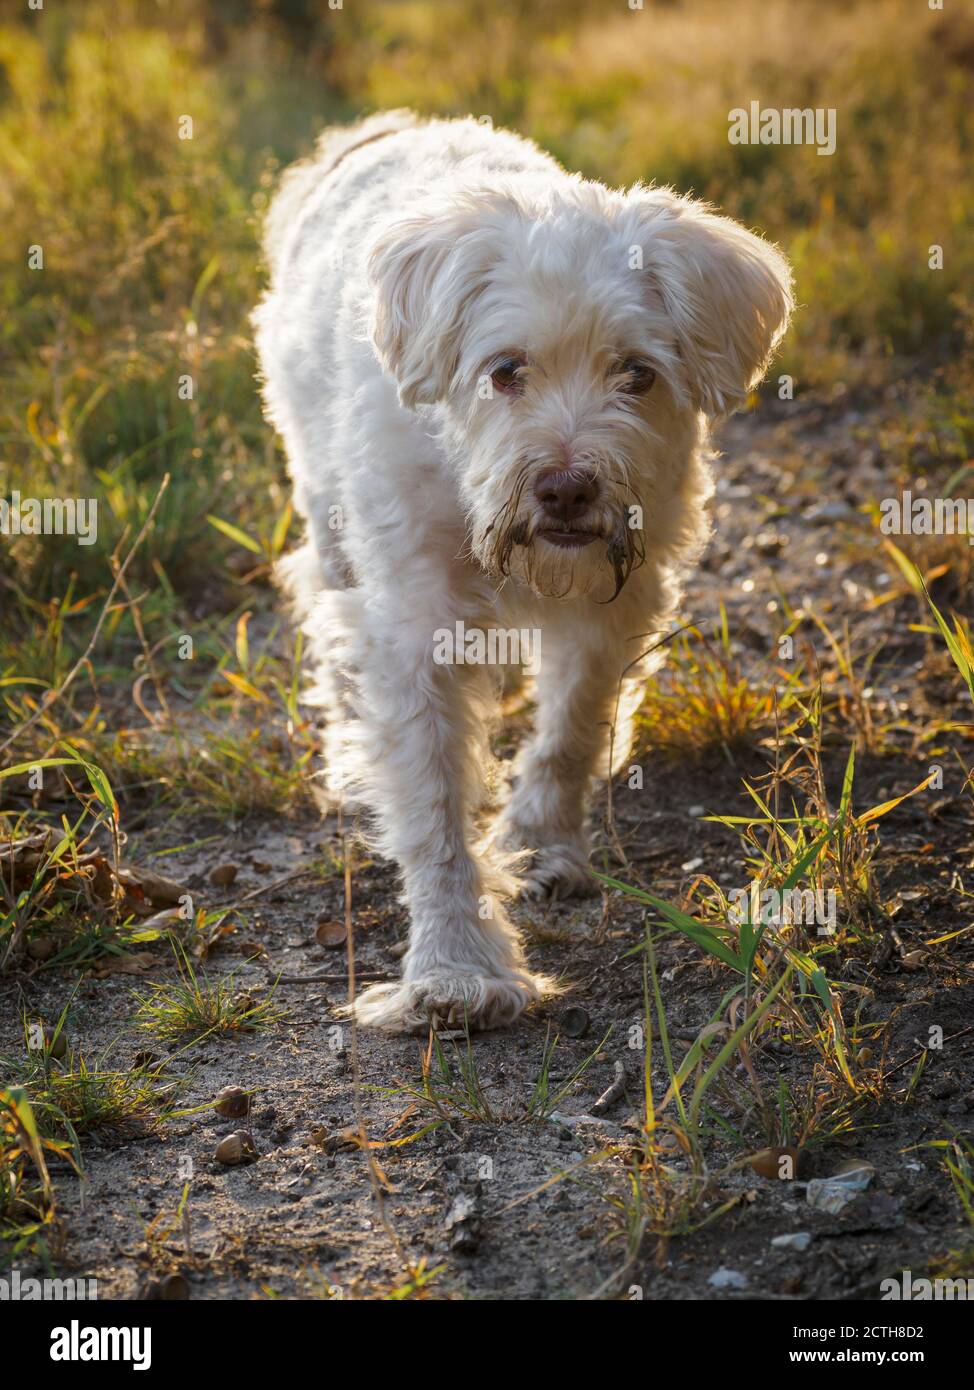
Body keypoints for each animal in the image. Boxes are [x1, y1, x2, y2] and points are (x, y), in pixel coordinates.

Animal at [250, 111, 789, 1034]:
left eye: (637, 374)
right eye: (505, 370)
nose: (567, 487)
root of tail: (378, 131)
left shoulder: (618, 599)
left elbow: (571, 726)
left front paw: (538, 843)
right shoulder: (414, 622)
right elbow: (432, 806)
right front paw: (456, 970)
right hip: (324, 509)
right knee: (329, 610)